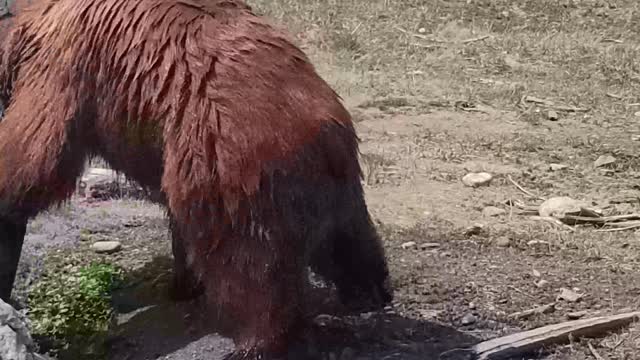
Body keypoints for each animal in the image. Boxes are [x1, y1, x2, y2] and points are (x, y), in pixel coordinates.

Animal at [0, 0, 392, 358]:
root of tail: (326, 125)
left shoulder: (65, 62)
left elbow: (37, 151)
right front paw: (180, 283)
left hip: (230, 165)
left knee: (248, 267)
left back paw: (253, 343)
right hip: (317, 180)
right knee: (349, 237)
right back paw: (369, 292)